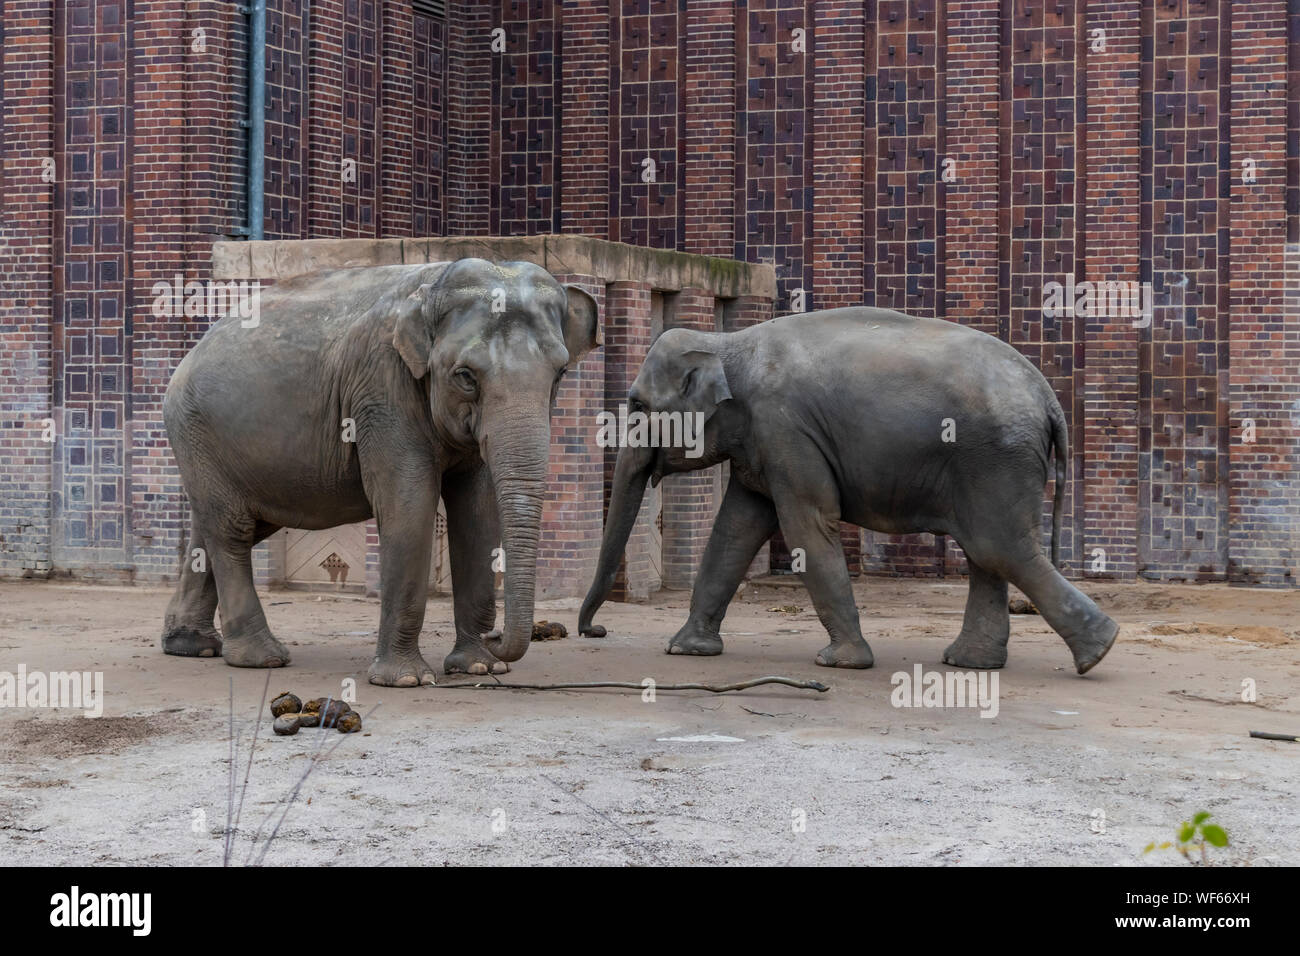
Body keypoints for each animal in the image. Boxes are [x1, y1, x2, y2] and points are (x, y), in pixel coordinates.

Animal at [158, 257, 598, 686]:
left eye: (560, 374)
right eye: (465, 376)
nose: (495, 635)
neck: (433, 285)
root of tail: (189, 355)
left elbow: (477, 512)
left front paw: (479, 668)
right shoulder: (382, 389)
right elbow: (409, 506)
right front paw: (405, 679)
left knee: (224, 527)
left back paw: (192, 646)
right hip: (196, 432)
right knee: (232, 532)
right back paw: (261, 658)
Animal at [579, 310, 1118, 676]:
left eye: (636, 405)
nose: (595, 631)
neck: (728, 342)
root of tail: (1048, 396)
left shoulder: (785, 429)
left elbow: (807, 524)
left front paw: (840, 662)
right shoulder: (761, 441)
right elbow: (736, 528)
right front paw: (685, 649)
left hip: (995, 457)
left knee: (998, 547)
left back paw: (1097, 652)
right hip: (992, 461)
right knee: (987, 551)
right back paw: (974, 664)